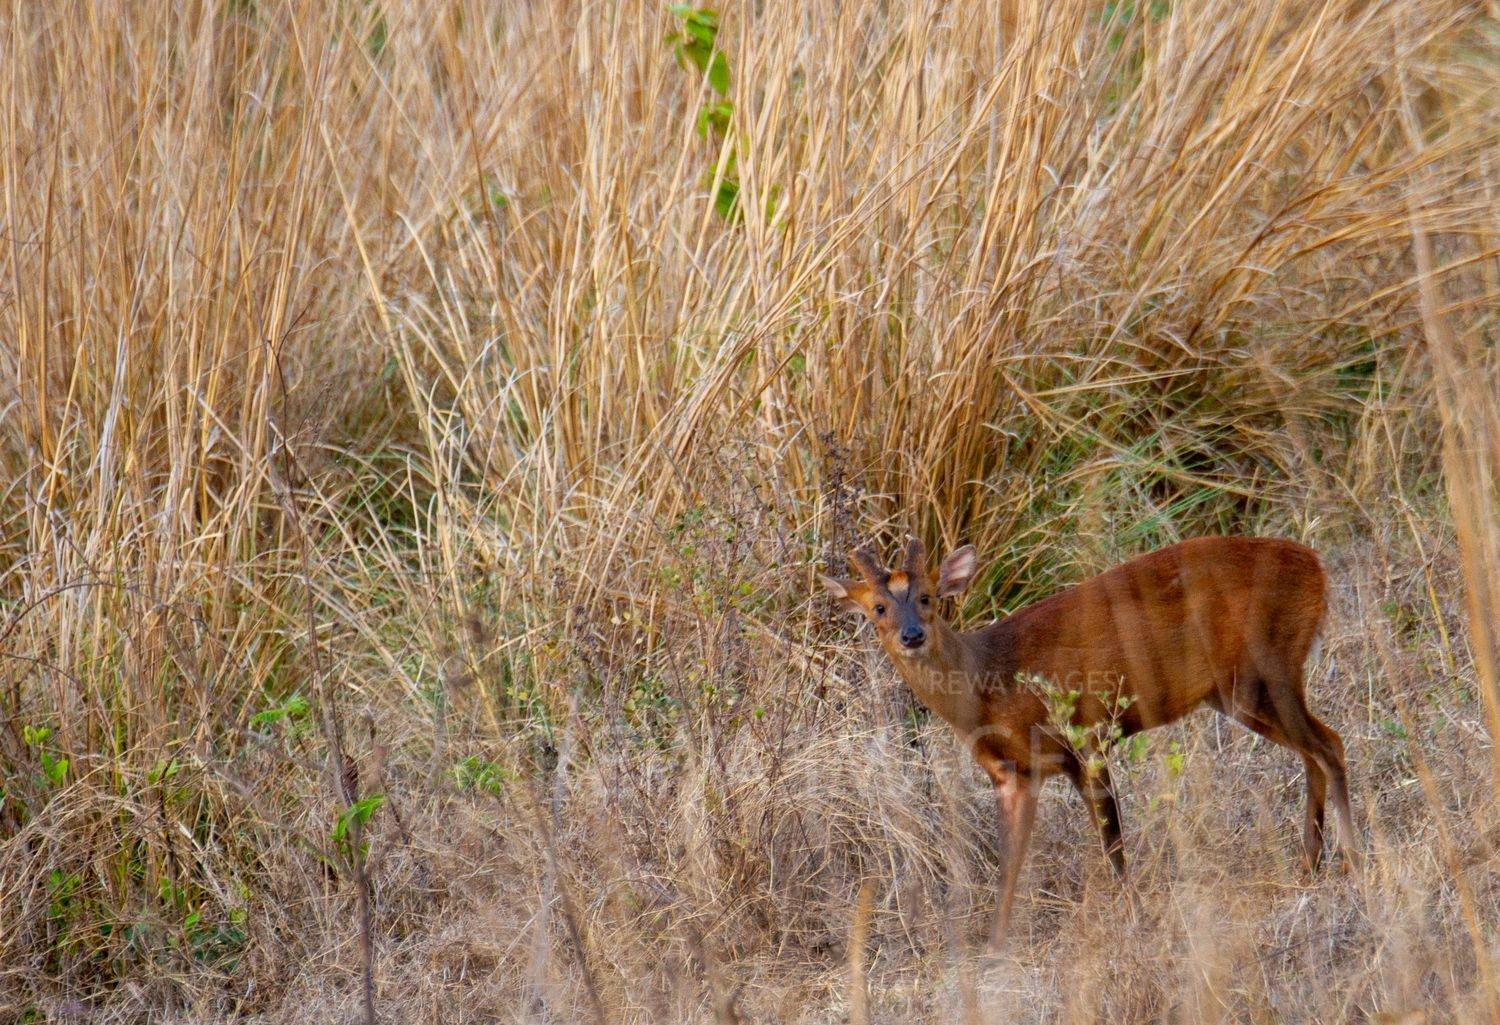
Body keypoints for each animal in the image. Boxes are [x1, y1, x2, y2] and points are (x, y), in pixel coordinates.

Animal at [820, 534, 1358, 948]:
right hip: (1242, 690)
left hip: (1262, 671)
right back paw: (1310, 864)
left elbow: (1112, 843)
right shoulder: (1013, 774)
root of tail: (1316, 565)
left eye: (928, 597)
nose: (911, 635)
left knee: (1330, 745)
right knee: (1318, 748)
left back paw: (1352, 862)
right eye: (878, 607)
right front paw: (994, 946)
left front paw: (1134, 918)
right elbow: (1010, 862)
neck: (990, 682)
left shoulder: (1088, 738)